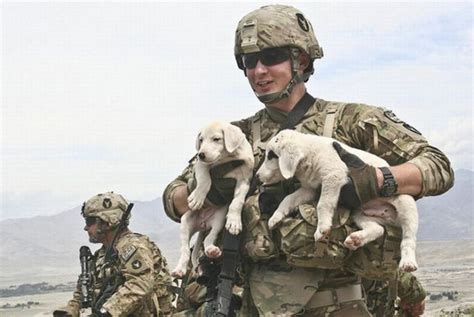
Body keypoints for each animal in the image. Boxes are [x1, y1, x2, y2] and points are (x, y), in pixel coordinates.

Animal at [169, 121, 252, 276]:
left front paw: (234, 222)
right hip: (186, 222)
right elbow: (205, 180)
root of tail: (203, 224)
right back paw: (179, 269)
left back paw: (212, 250)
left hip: (219, 218)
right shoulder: (200, 166)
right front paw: (197, 198)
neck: (226, 158)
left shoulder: (244, 179)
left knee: (209, 238)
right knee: (185, 250)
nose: (200, 154)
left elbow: (237, 201)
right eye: (201, 140)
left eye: (216, 139)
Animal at [256, 129, 418, 272]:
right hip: (360, 213)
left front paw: (322, 228)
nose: (257, 176)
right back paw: (356, 239)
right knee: (378, 229)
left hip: (406, 205)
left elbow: (323, 204)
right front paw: (275, 217)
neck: (310, 155)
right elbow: (288, 199)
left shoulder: (333, 176)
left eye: (271, 155)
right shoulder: (310, 188)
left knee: (408, 238)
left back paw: (408, 262)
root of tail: (390, 218)